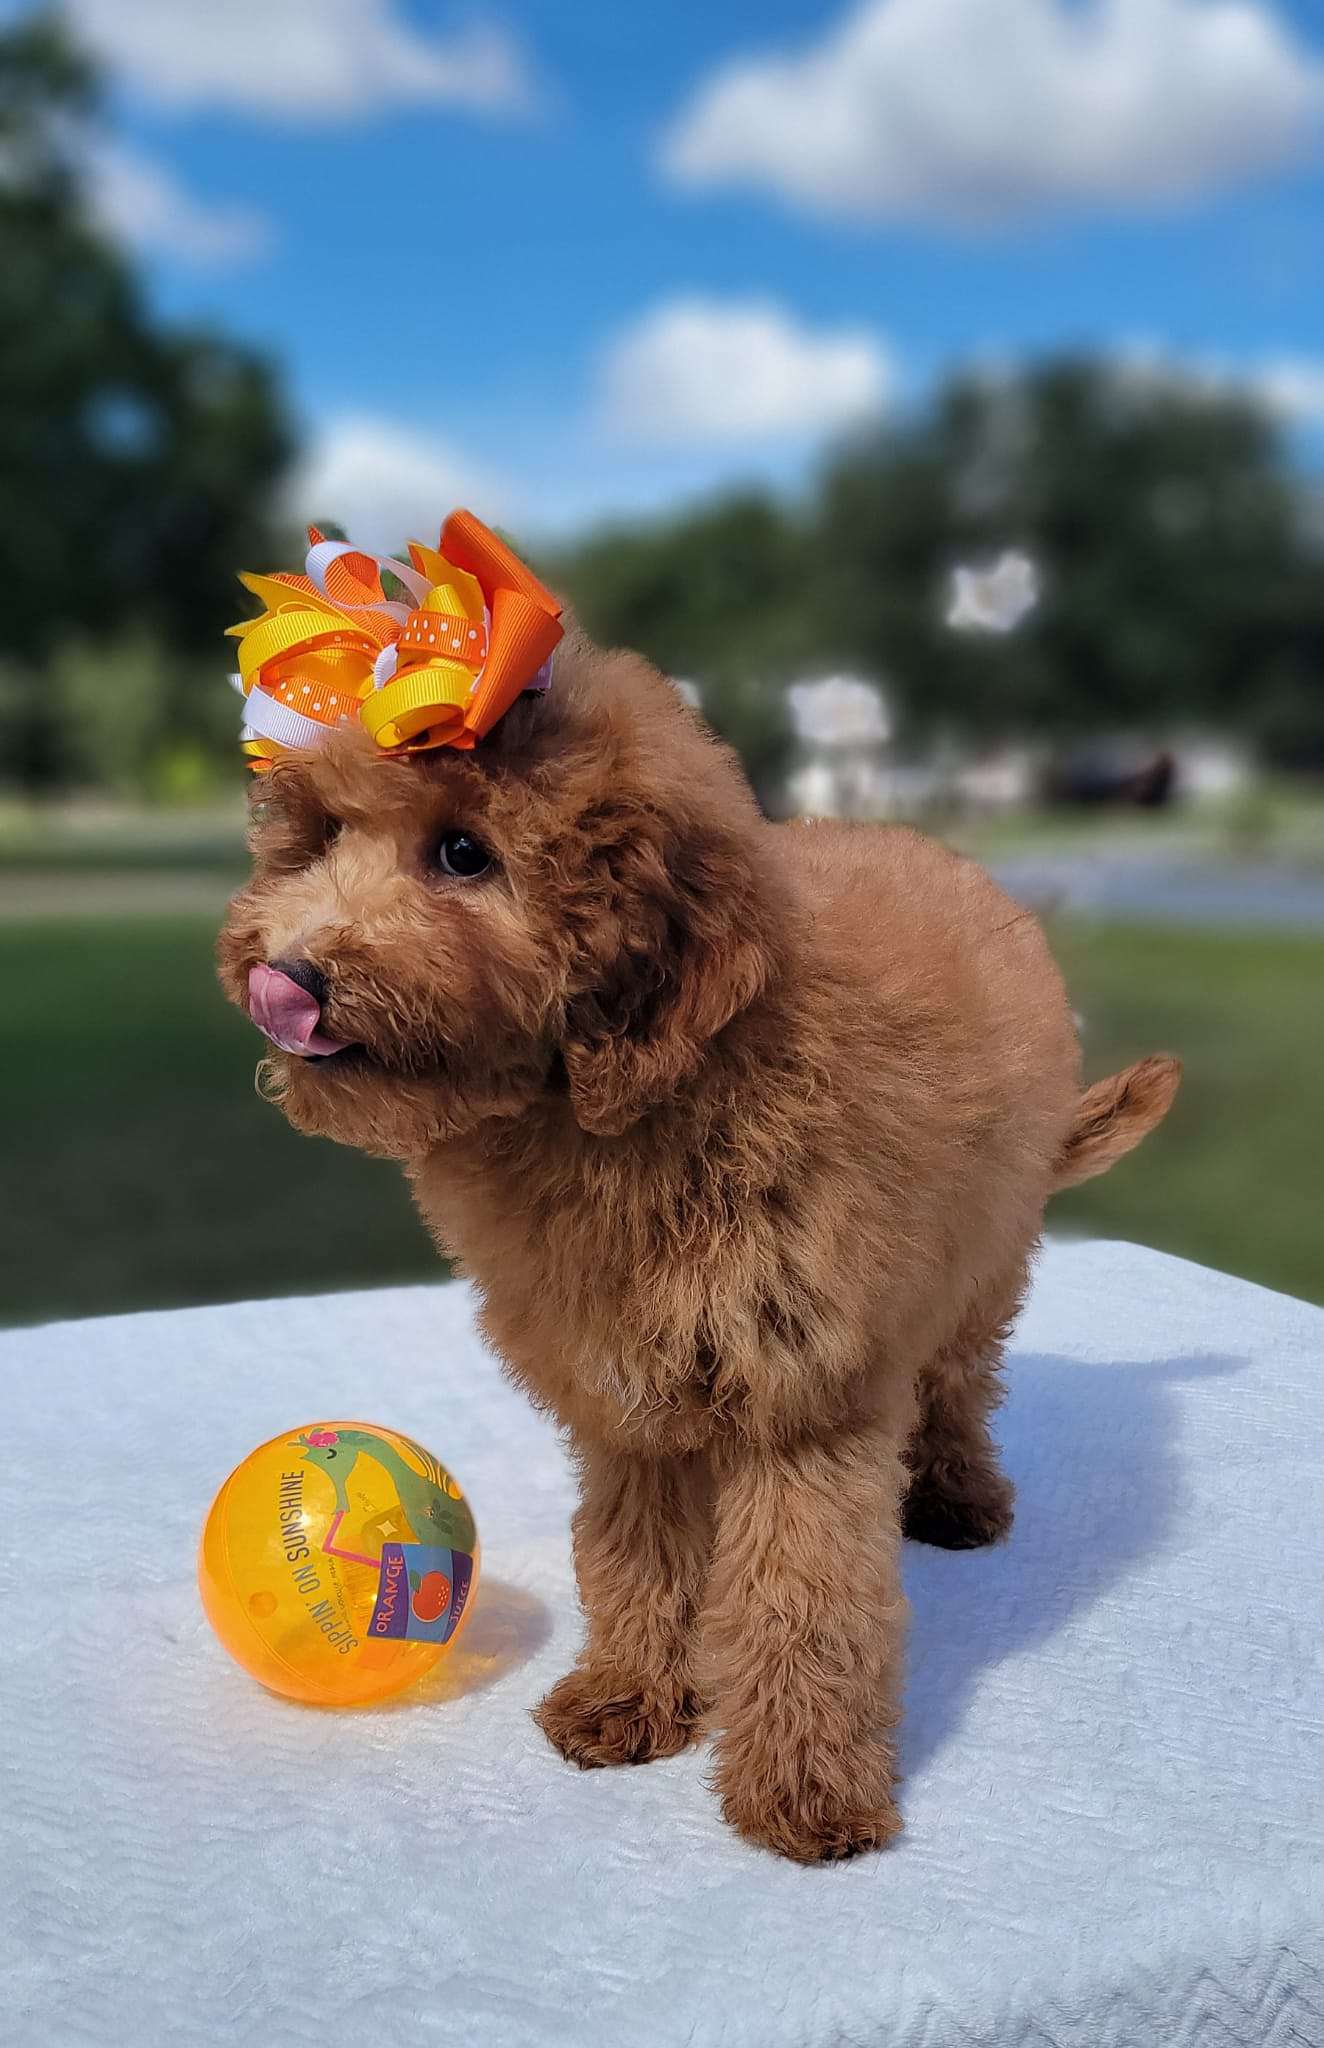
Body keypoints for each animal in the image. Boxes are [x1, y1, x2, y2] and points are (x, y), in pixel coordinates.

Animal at [218, 624, 1180, 1862]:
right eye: (326, 834)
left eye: (464, 854)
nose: (283, 976)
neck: (634, 1106)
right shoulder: (624, 1390)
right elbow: (636, 1552)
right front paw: (631, 1694)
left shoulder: (805, 1384)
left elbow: (805, 1595)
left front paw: (805, 1788)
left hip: (984, 1252)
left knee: (961, 1377)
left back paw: (958, 1493)